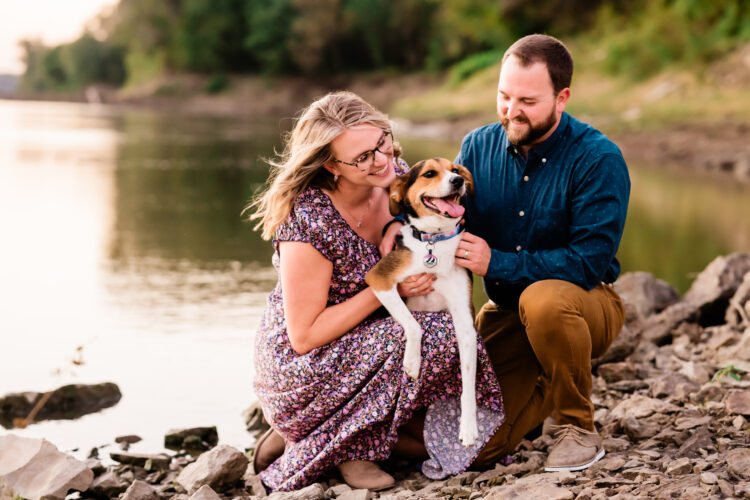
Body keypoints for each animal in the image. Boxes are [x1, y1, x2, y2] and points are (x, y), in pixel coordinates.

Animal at [366, 157, 482, 446]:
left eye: (455, 170)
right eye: (430, 173)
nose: (458, 181)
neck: (434, 243)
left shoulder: (465, 325)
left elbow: (468, 382)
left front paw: (468, 427)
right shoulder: (379, 279)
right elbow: (413, 325)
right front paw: (412, 362)